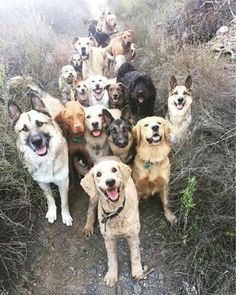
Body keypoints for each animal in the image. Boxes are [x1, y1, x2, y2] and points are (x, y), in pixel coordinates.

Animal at [7, 95, 72, 227]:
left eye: (40, 123)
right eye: (24, 129)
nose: (37, 141)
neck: (45, 159)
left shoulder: (63, 183)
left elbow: (64, 202)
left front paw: (66, 216)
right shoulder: (42, 183)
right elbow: (50, 198)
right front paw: (52, 211)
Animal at [81, 157, 144, 290]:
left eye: (114, 170)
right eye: (98, 174)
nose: (110, 182)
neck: (115, 212)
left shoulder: (133, 236)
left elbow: (135, 255)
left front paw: (137, 271)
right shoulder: (109, 239)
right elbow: (112, 260)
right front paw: (111, 276)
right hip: (94, 197)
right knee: (90, 211)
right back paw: (88, 227)